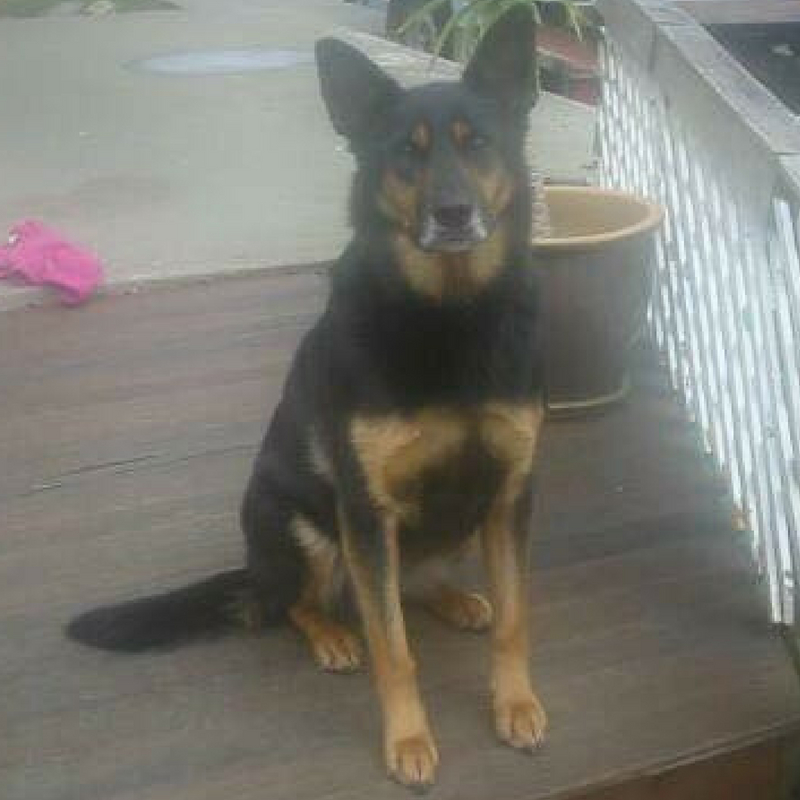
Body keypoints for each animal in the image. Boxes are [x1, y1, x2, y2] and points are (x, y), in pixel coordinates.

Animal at [69, 7, 548, 788]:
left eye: (478, 144)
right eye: (405, 154)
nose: (453, 214)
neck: (449, 313)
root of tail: (252, 566)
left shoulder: (510, 492)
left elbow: (514, 620)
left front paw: (515, 704)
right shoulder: (365, 509)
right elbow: (394, 649)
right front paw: (408, 740)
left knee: (409, 586)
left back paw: (452, 598)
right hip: (303, 527)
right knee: (294, 604)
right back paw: (329, 635)